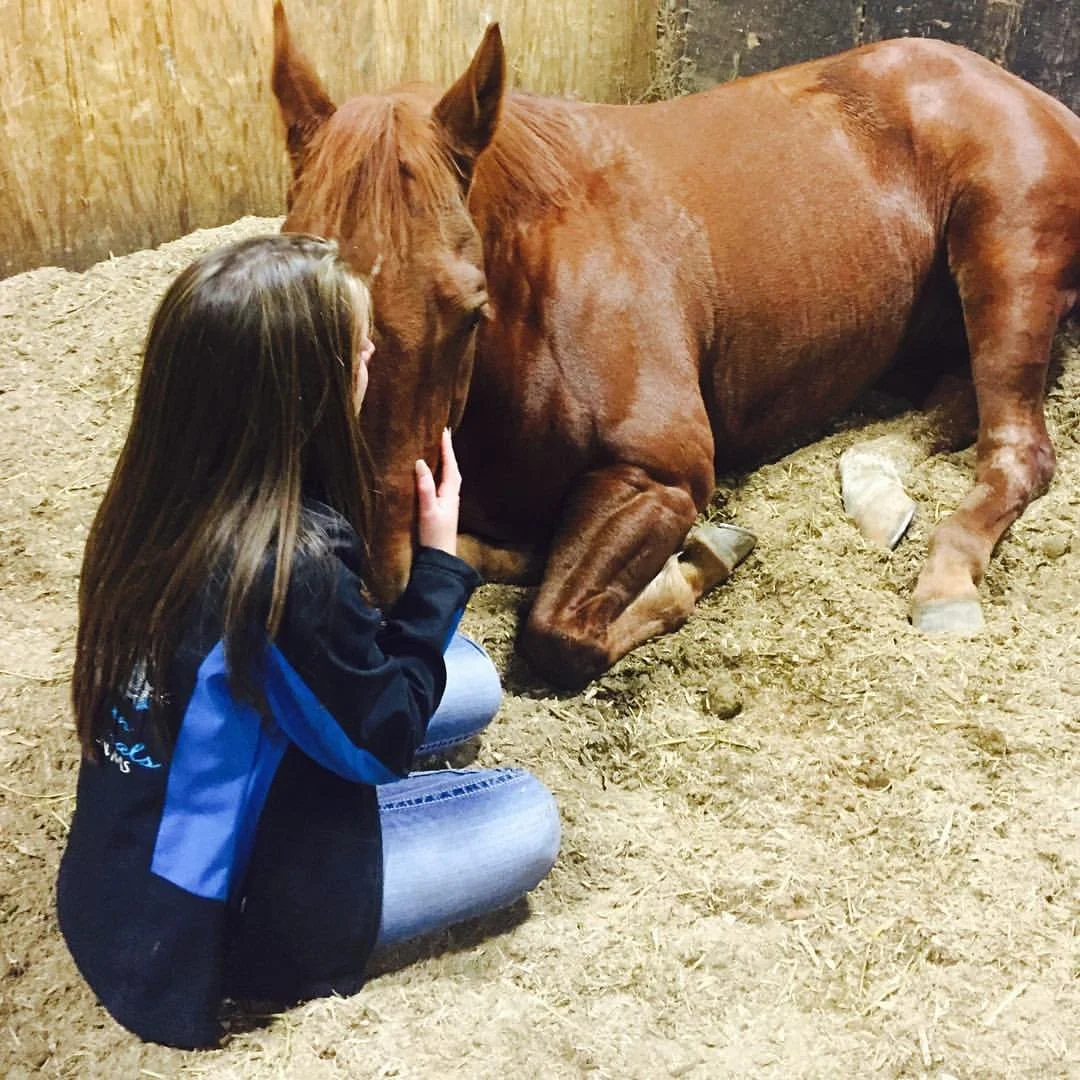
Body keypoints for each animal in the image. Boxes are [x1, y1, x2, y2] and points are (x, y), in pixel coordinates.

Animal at [271, 3, 1080, 689]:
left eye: (471, 311)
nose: (373, 576)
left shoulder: (662, 474)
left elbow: (558, 631)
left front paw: (698, 560)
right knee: (951, 403)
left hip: (1006, 260)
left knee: (1015, 448)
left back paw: (945, 586)